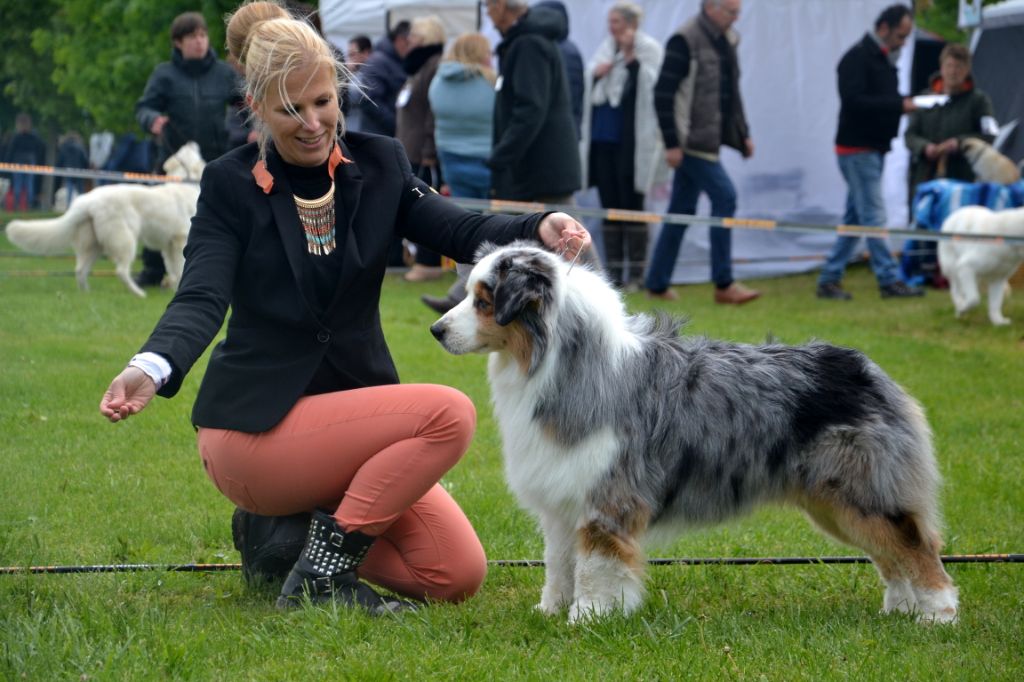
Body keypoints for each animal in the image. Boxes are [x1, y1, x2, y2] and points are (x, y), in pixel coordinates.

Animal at [4, 140, 202, 294]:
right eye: (188, 150)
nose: (191, 141)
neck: (186, 182)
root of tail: (89, 200)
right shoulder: (180, 240)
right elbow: (181, 267)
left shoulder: (169, 246)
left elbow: (175, 269)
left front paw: (175, 287)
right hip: (125, 240)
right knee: (121, 271)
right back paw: (138, 293)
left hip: (93, 245)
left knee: (80, 270)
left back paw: (86, 295)